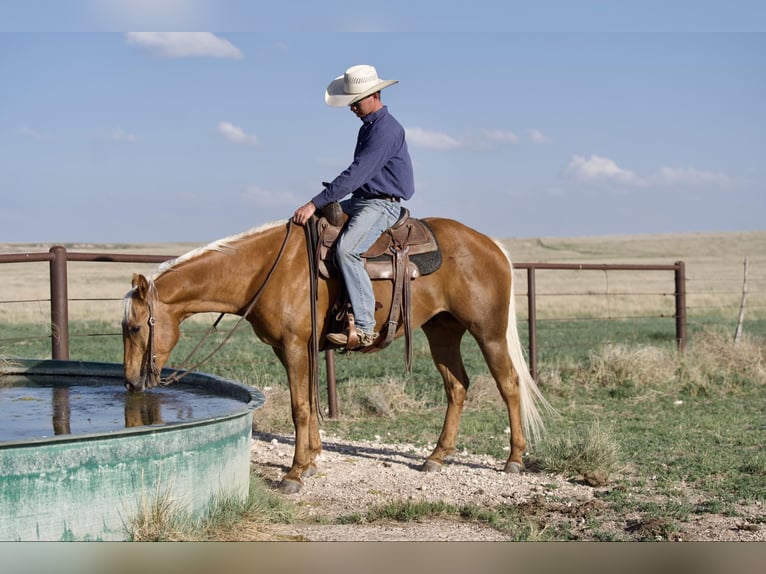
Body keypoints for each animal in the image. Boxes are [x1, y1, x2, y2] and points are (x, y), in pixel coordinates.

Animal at [121, 218, 552, 492]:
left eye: (135, 327)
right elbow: (309, 403)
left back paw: (514, 459)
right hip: (441, 331)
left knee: (509, 383)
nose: (130, 382)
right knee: (457, 387)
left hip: (488, 332)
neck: (266, 269)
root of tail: (492, 245)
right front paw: (311, 460)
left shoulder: (295, 346)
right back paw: (436, 456)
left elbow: (298, 407)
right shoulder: (292, 349)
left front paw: (294, 474)